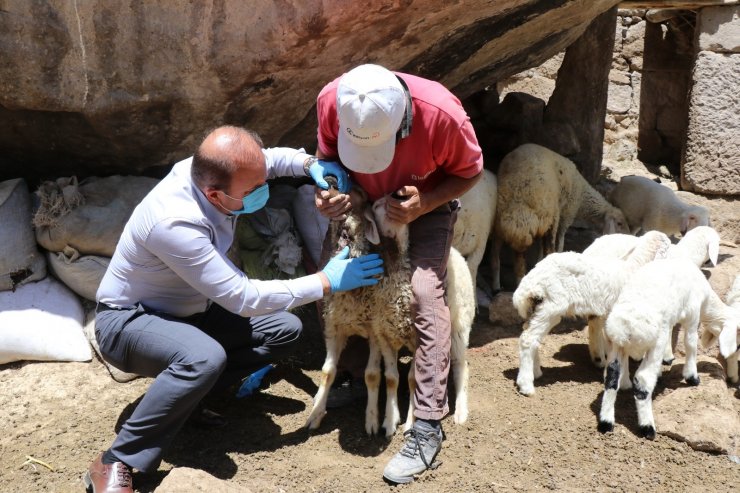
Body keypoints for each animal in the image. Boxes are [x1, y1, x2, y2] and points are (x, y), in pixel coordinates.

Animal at [494, 142, 628, 290]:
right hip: (552, 218)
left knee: (495, 258)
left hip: (499, 227)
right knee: (547, 249)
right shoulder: (567, 214)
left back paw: (496, 285)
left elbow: (540, 246)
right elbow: (561, 239)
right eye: (620, 223)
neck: (583, 196)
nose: (630, 236)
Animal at [512, 231, 668, 396]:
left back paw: (536, 372)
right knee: (528, 339)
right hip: (550, 307)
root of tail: (527, 285)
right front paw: (625, 383)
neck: (633, 268)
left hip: (537, 308)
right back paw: (526, 385)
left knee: (530, 335)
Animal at [596, 258, 740, 438]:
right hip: (654, 343)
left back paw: (606, 422)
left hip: (618, 345)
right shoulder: (692, 314)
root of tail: (625, 327)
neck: (707, 301)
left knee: (611, 377)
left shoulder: (669, 321)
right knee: (643, 379)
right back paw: (647, 427)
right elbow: (690, 344)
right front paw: (692, 377)